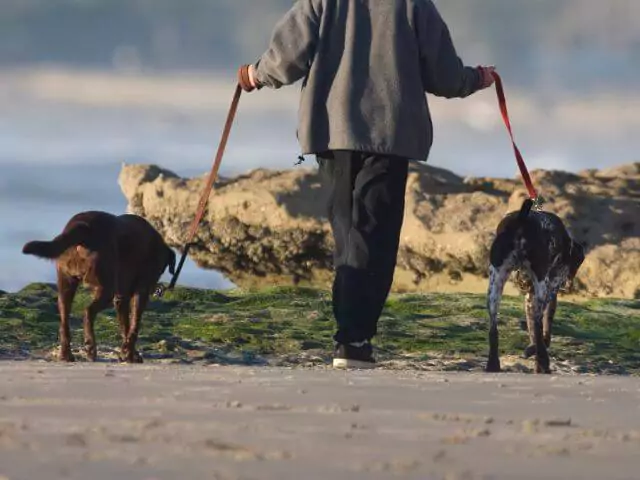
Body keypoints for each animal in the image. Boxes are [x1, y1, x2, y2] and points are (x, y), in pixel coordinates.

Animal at [22, 212, 175, 362]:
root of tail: (82, 227)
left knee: (64, 320)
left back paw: (66, 355)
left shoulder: (121, 297)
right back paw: (90, 348)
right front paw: (130, 354)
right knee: (87, 312)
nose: (157, 289)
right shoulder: (140, 292)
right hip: (106, 286)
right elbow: (134, 326)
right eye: (161, 268)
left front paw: (128, 353)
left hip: (66, 282)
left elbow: (125, 326)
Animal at [484, 199, 584, 376]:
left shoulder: (529, 297)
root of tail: (522, 219)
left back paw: (493, 365)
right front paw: (536, 353)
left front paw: (532, 351)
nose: (568, 286)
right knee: (538, 325)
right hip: (541, 287)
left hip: (495, 283)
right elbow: (543, 331)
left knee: (493, 329)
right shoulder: (551, 290)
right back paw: (543, 364)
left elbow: (532, 329)